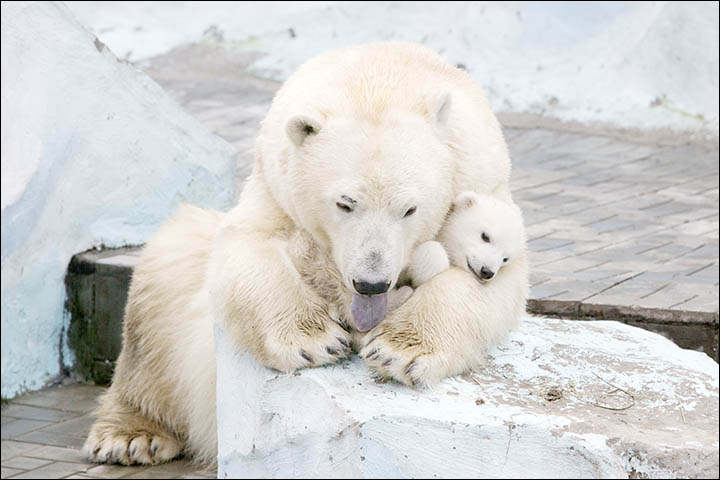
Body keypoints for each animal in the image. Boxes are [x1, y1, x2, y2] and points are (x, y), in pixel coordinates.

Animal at [84, 42, 528, 464]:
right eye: (345, 203)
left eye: (409, 209)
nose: (371, 283)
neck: (380, 77)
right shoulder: (274, 185)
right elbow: (248, 248)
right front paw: (317, 340)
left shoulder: (483, 182)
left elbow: (491, 284)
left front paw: (397, 348)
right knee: (158, 306)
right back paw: (131, 436)